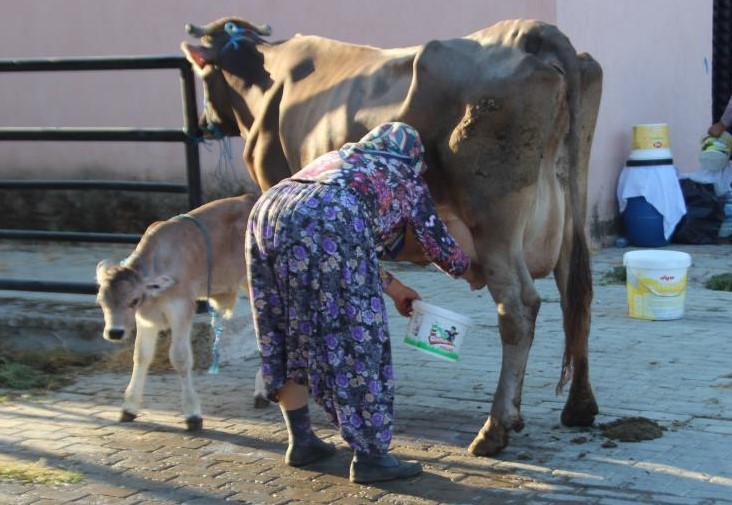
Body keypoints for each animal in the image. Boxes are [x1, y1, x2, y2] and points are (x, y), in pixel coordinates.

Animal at [93, 194, 262, 430]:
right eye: (101, 300)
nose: (114, 332)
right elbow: (141, 356)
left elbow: (180, 358)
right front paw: (129, 408)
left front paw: (193, 414)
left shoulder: (181, 309)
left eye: (133, 300)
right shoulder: (146, 319)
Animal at [182, 17, 600, 454]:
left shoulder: (269, 179)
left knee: (519, 308)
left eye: (202, 74)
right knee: (577, 298)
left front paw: (268, 387)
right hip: (570, 208)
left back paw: (495, 427)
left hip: (495, 222)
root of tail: (533, 30)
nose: (202, 124)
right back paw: (578, 407)